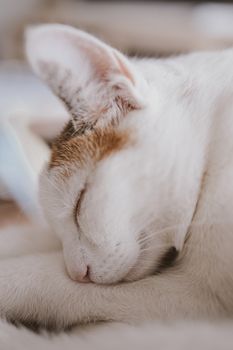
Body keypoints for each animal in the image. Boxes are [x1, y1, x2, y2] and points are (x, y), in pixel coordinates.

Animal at [0, 22, 233, 340]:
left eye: (79, 203)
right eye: (59, 230)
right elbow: (29, 236)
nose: (78, 273)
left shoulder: (198, 295)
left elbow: (45, 279)